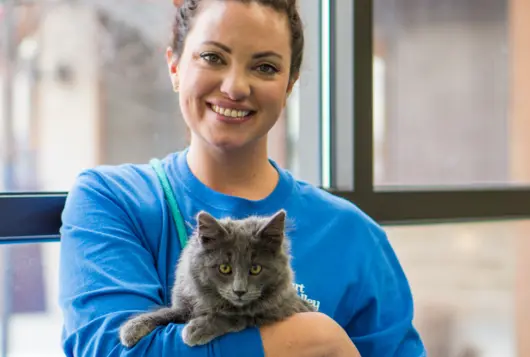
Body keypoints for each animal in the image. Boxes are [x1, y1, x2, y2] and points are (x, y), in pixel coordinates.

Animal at [119, 207, 314, 346]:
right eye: (225, 268)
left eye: (256, 269)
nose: (239, 291)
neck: (214, 302)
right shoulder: (186, 304)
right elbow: (168, 312)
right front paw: (134, 326)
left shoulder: (286, 308)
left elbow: (240, 316)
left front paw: (199, 328)